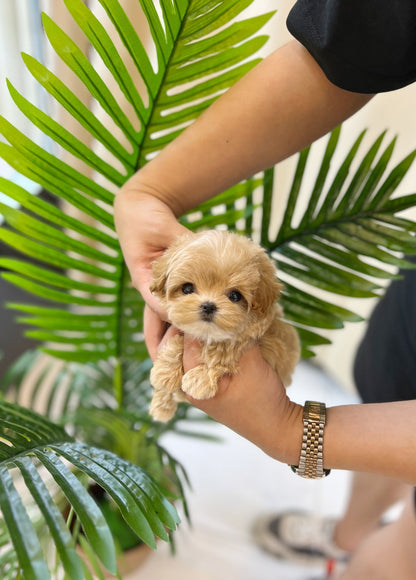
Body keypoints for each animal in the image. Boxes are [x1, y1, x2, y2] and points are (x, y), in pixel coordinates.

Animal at [148, 230, 300, 422]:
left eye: (235, 296)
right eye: (187, 288)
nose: (208, 306)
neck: (208, 335)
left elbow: (227, 349)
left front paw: (201, 379)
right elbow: (178, 337)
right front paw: (166, 372)